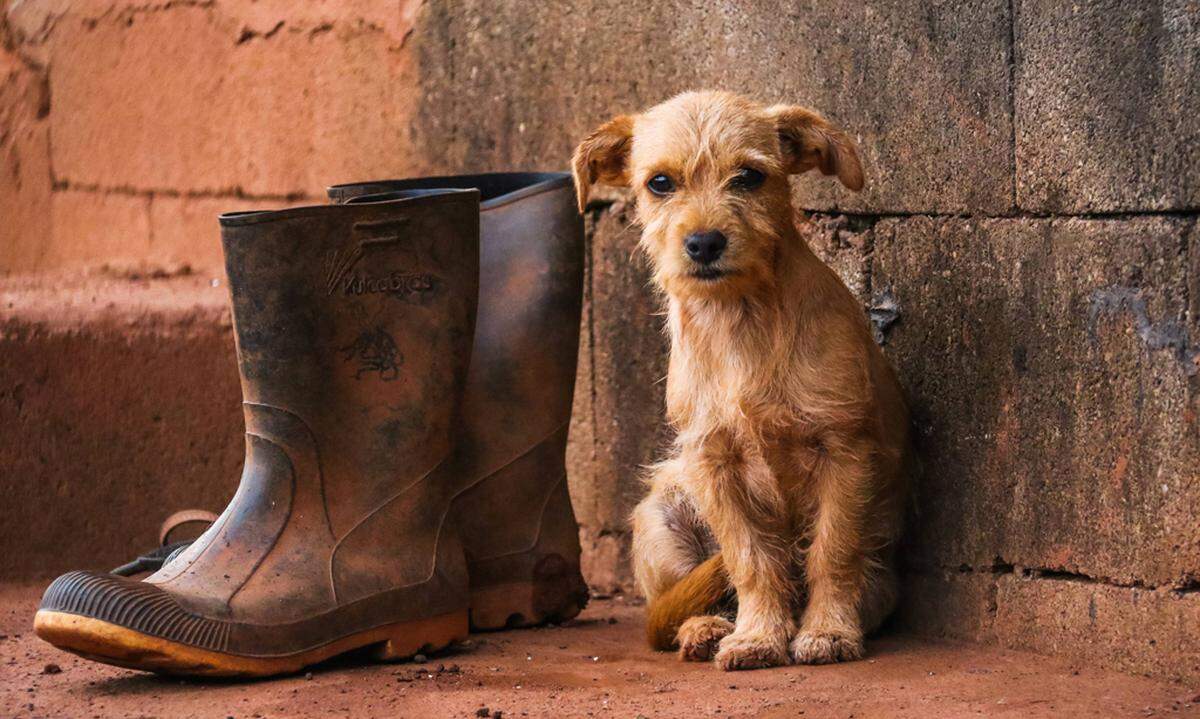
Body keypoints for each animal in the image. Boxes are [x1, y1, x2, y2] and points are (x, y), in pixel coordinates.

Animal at [571, 93, 907, 672]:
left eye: (749, 177)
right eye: (660, 183)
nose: (704, 243)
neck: (740, 318)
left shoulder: (844, 450)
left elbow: (832, 551)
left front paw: (828, 630)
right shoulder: (713, 461)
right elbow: (751, 558)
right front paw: (758, 636)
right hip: (661, 514)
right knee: (681, 601)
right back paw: (707, 628)